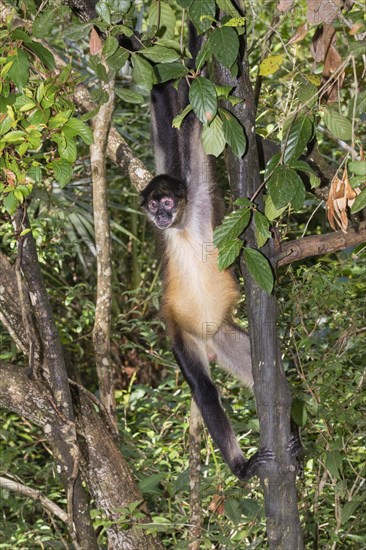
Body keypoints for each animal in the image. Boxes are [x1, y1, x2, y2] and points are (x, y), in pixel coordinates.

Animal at [140, 81, 274, 478]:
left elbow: (190, 128)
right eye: (153, 205)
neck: (182, 227)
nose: (161, 216)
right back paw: (242, 467)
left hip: (225, 336)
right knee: (204, 389)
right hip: (184, 336)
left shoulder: (196, 188)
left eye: (168, 202)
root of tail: (208, 339)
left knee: (264, 377)